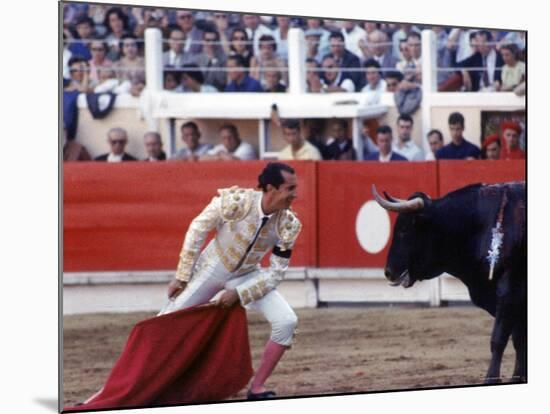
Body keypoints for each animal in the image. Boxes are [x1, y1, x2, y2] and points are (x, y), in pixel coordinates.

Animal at [374, 183, 528, 384]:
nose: (388, 272)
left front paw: (491, 379)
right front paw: (518, 376)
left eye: (404, 231)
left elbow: (499, 339)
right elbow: (519, 339)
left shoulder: (509, 291)